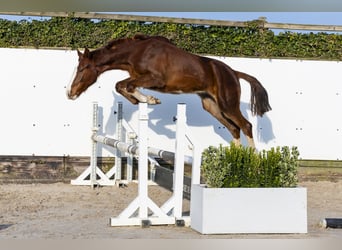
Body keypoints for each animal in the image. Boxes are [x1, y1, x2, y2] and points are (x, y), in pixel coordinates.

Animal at [67, 33, 272, 146]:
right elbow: (121, 85)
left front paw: (149, 99)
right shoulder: (139, 77)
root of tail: (234, 72)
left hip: (227, 104)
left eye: (83, 68)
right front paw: (139, 100)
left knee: (246, 126)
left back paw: (253, 166)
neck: (136, 52)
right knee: (234, 129)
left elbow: (127, 84)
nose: (70, 93)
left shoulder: (155, 79)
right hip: (212, 106)